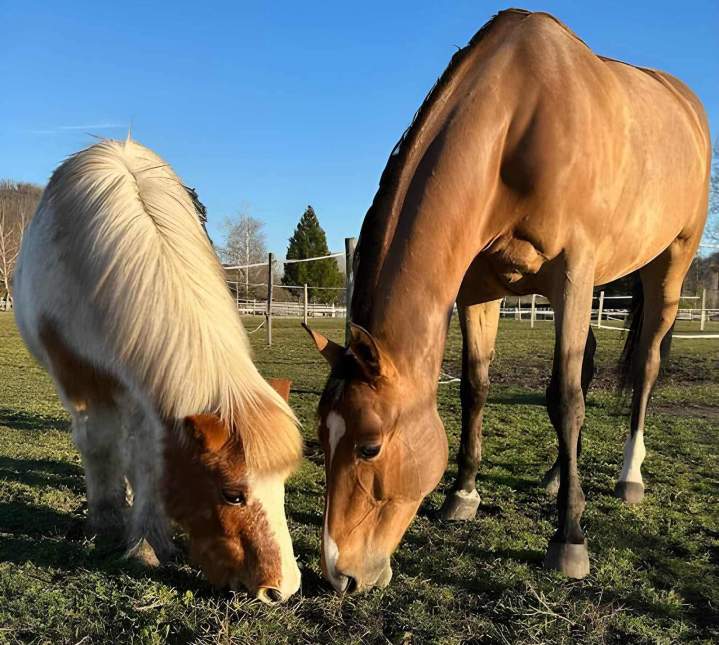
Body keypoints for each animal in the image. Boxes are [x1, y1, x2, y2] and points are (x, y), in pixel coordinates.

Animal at [13, 139, 303, 603]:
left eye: (282, 483)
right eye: (233, 495)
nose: (282, 590)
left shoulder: (145, 390)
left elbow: (148, 455)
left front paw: (147, 539)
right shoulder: (78, 378)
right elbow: (100, 445)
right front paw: (110, 524)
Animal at [304, 9, 710, 592]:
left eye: (369, 446)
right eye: (320, 435)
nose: (341, 576)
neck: (519, 121)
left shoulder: (573, 275)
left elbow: (565, 400)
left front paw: (569, 539)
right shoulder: (480, 290)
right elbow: (477, 388)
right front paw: (463, 494)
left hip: (667, 268)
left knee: (645, 366)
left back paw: (628, 477)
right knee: (586, 365)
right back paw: (557, 475)